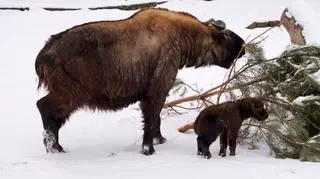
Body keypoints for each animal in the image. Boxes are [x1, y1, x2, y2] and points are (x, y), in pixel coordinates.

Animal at [34, 7, 245, 155]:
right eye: (226, 35)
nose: (243, 46)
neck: (182, 35)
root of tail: (43, 56)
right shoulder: (157, 89)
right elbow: (151, 120)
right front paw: (148, 149)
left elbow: (157, 119)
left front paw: (160, 140)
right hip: (71, 94)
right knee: (44, 108)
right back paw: (54, 147)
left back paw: (56, 146)